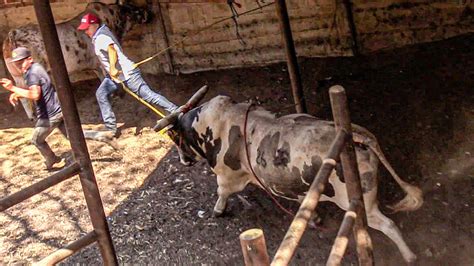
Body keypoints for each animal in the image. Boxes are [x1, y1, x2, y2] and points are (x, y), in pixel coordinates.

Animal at [157, 88, 424, 264]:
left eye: (176, 138)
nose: (184, 160)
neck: (212, 125)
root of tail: (358, 136)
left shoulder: (227, 175)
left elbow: (221, 192)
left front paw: (218, 210)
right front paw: (313, 217)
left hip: (360, 202)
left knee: (388, 225)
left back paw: (410, 256)